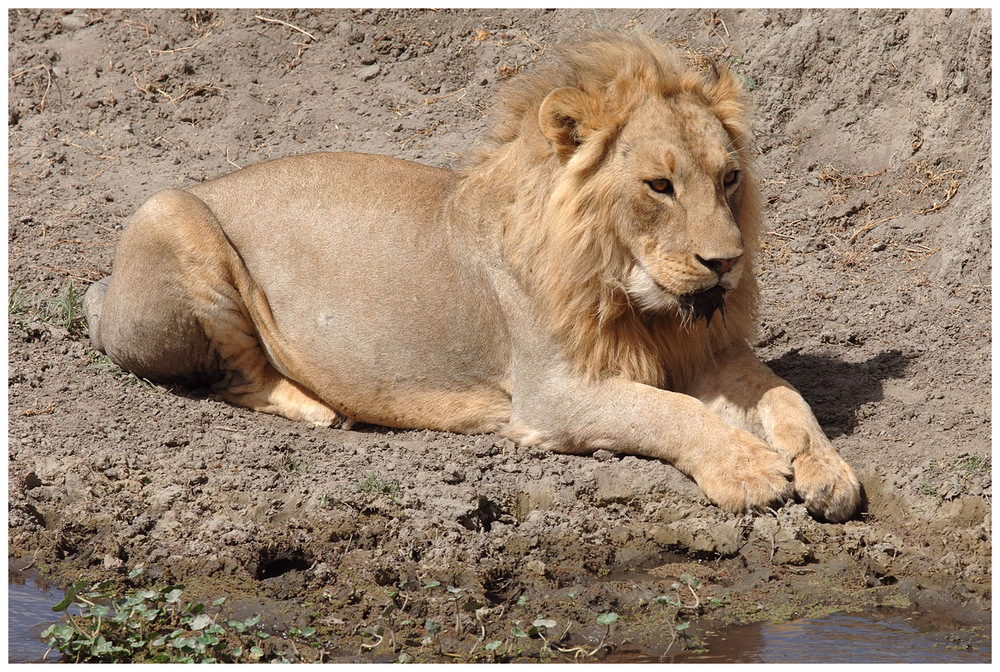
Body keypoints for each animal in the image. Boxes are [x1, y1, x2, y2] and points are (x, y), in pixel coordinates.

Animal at [84, 32, 860, 520]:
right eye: (659, 186)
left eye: (729, 178)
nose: (725, 264)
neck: (641, 297)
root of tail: (100, 290)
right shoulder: (553, 395)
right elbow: (669, 411)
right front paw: (751, 472)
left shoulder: (710, 351)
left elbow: (786, 398)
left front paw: (829, 473)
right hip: (168, 210)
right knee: (238, 377)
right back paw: (321, 407)